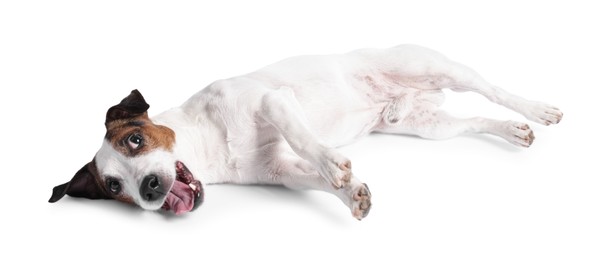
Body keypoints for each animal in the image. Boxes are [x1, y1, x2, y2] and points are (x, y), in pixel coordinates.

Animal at [47, 44, 564, 219]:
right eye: (116, 187)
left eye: (135, 140)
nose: (151, 189)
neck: (208, 146)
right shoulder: (281, 173)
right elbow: (320, 183)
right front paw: (352, 193)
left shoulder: (272, 102)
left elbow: (302, 137)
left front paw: (334, 161)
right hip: (431, 128)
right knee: (474, 121)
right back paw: (514, 131)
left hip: (433, 68)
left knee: (491, 88)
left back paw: (537, 109)